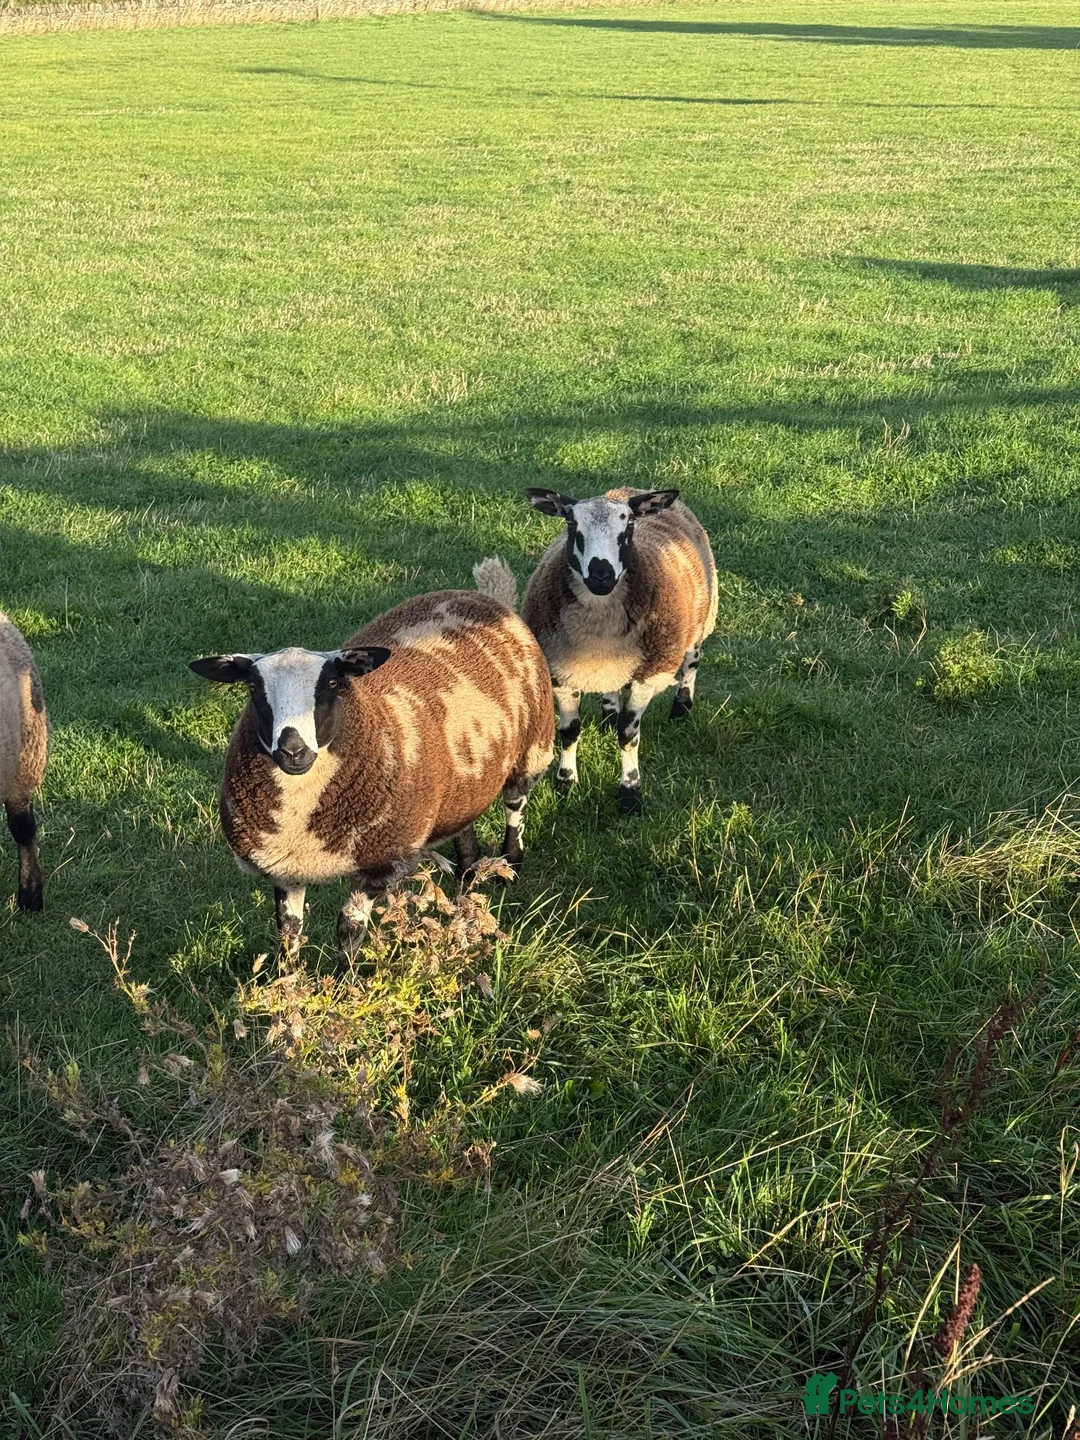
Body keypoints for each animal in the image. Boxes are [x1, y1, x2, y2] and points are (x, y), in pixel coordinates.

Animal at [189, 566, 554, 962]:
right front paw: (288, 975)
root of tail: (480, 596)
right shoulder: (284, 866)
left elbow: (348, 931)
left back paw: (511, 861)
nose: (293, 750)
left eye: (333, 683)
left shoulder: (379, 864)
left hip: (532, 747)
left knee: (515, 805)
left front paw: (343, 976)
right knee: (466, 832)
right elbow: (288, 933)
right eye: (254, 688)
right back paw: (466, 881)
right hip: (463, 782)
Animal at [521, 487, 716, 814]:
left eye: (629, 526)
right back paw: (608, 715)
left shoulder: (648, 676)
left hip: (700, 615)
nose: (601, 574)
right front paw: (566, 782)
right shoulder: (561, 672)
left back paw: (682, 706)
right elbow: (569, 732)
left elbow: (628, 736)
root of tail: (633, 490)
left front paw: (630, 792)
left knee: (691, 660)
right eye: (571, 524)